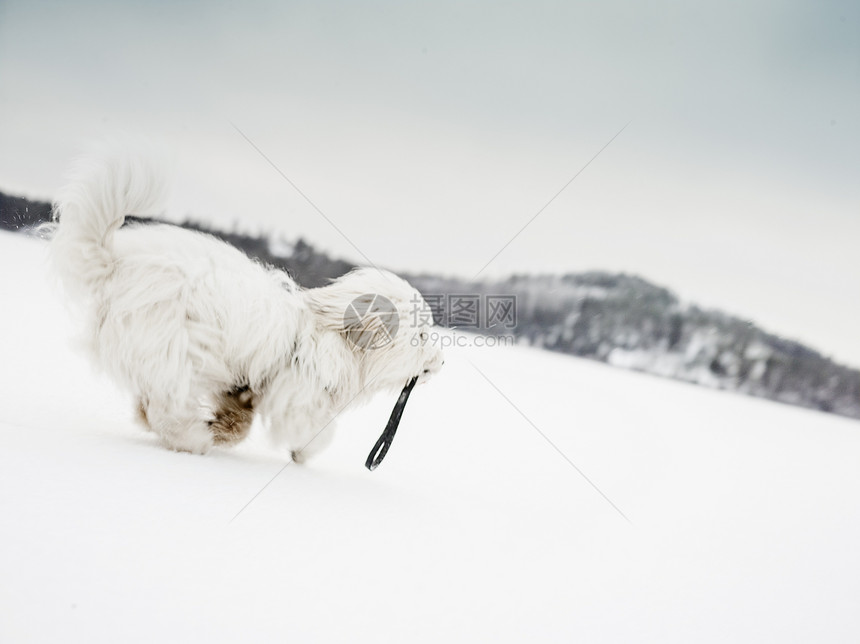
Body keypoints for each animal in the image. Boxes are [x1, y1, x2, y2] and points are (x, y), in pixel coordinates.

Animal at [51, 147, 444, 460]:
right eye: (422, 335)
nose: (442, 362)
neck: (332, 336)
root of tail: (115, 263)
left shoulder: (244, 388)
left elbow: (239, 419)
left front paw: (226, 428)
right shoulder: (297, 396)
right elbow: (317, 430)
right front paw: (303, 453)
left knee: (151, 407)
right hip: (174, 349)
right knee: (167, 410)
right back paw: (193, 440)